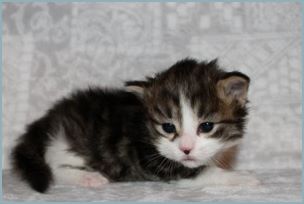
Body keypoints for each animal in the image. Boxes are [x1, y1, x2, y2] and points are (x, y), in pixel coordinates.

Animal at [11, 58, 256, 193]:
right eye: (168, 127)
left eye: (206, 126)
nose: (186, 149)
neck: (147, 130)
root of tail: (47, 119)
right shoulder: (159, 164)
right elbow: (207, 172)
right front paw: (245, 178)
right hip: (71, 143)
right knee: (52, 162)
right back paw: (88, 177)